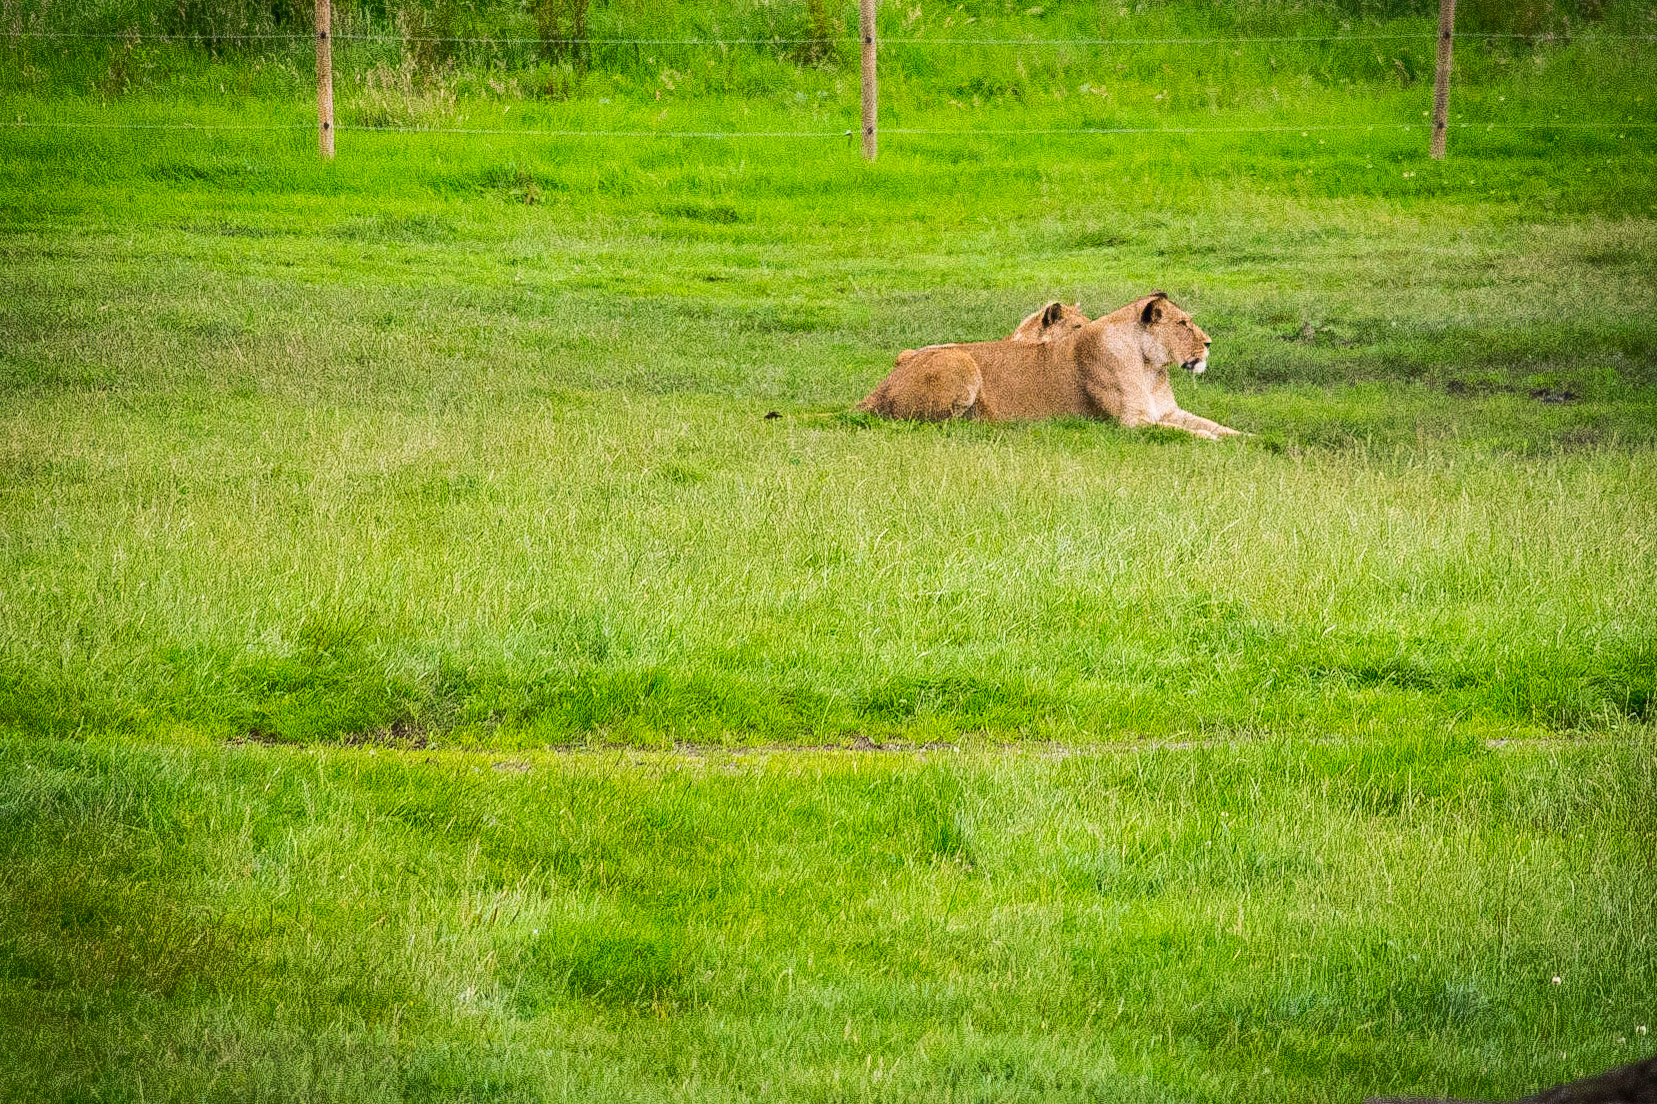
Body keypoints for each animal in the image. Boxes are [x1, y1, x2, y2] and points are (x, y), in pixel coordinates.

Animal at [855, 291, 1240, 440]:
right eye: (1183, 324)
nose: (1208, 344)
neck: (1150, 367)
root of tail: (875, 393)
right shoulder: (1131, 423)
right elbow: (1190, 433)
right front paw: (1212, 442)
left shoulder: (1169, 412)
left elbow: (1217, 426)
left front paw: (1246, 439)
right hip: (961, 361)